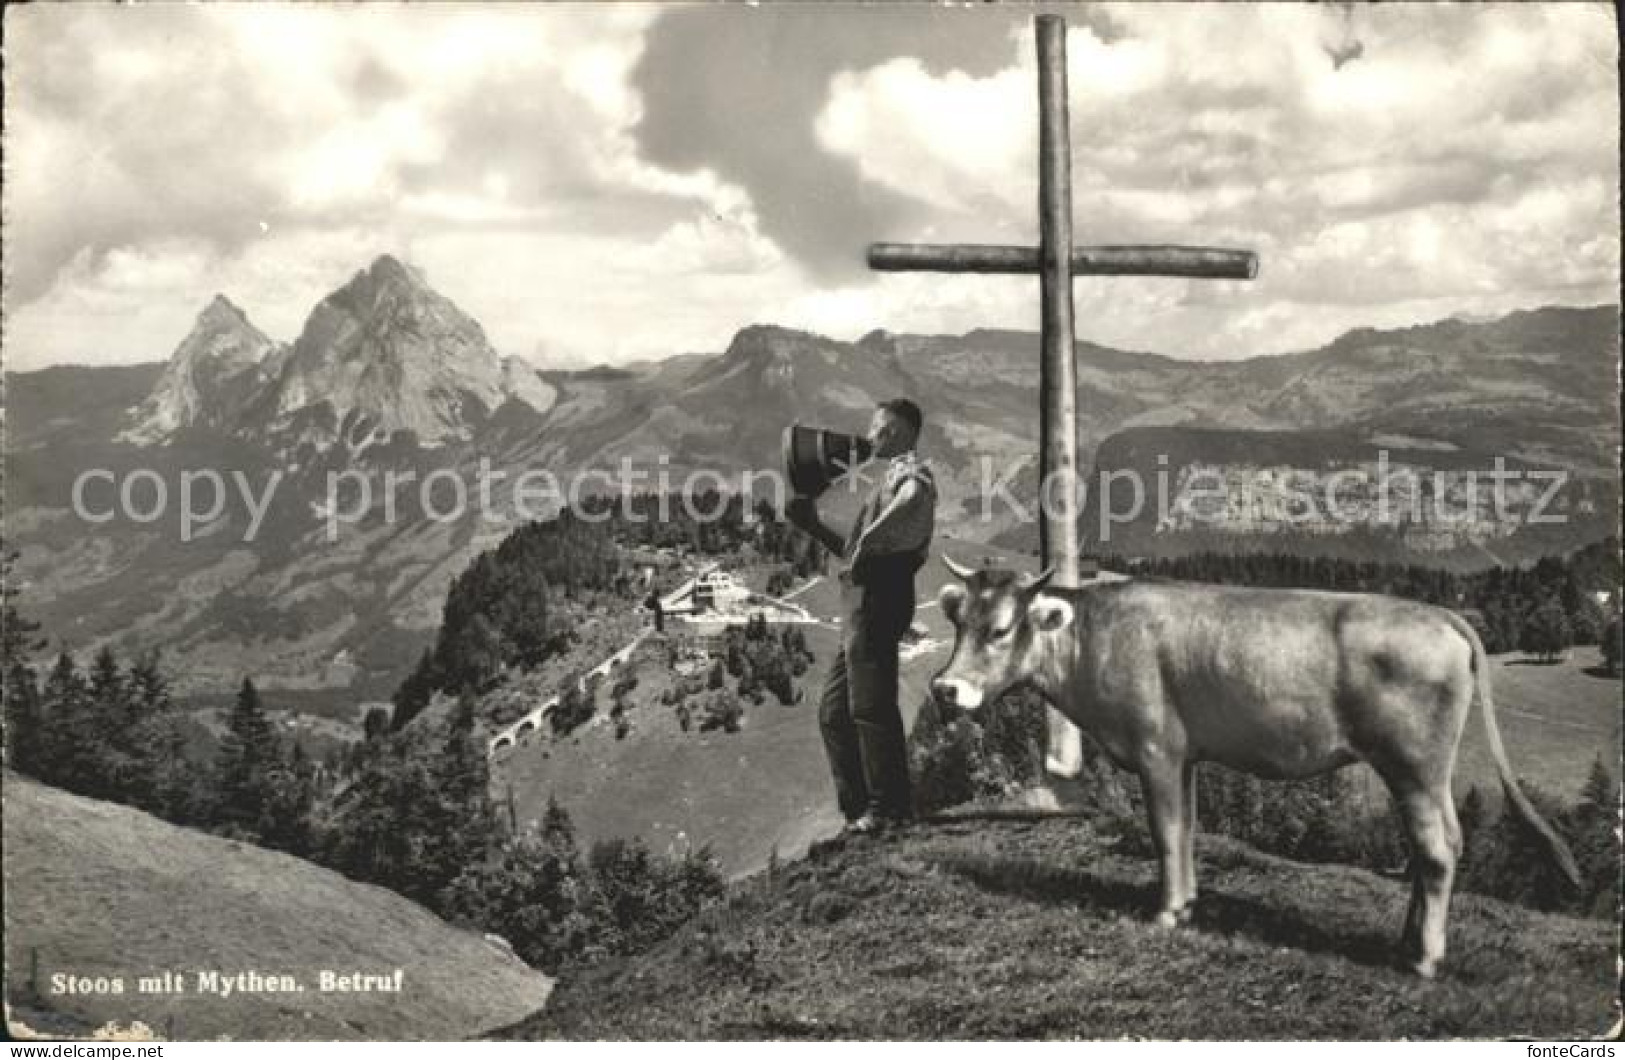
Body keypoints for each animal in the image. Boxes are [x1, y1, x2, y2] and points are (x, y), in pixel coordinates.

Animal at [936, 559, 1579, 981]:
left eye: (999, 630)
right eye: (958, 623)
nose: (945, 690)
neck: (1093, 639)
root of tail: (1439, 615)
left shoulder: (1156, 748)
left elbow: (1165, 832)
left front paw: (1166, 912)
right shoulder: (1187, 754)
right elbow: (1187, 829)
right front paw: (1188, 903)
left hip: (1414, 765)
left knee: (1438, 850)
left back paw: (1423, 959)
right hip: (1427, 774)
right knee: (1441, 842)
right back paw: (1406, 944)